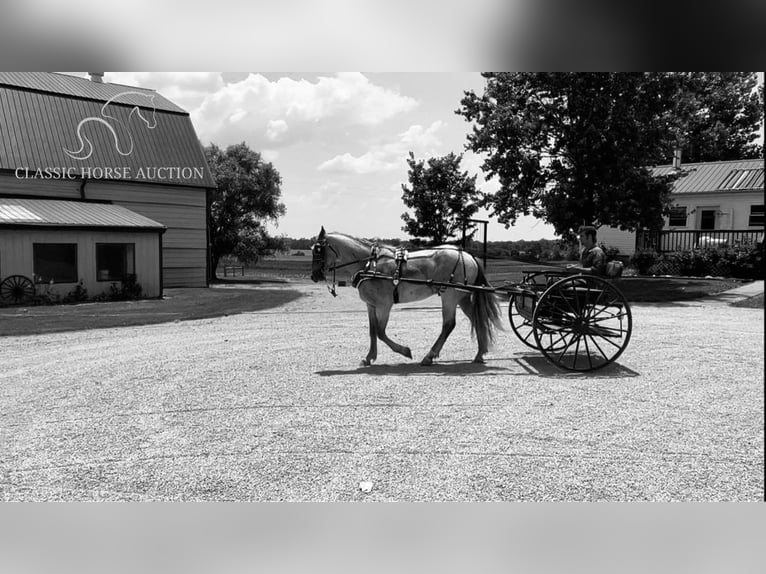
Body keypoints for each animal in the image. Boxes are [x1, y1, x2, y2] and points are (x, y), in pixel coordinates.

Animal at [308, 227, 508, 366]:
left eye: (318, 249)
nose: (314, 276)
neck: (369, 264)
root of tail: (469, 255)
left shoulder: (384, 305)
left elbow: (380, 332)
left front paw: (404, 351)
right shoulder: (371, 305)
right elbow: (372, 331)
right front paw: (369, 357)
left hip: (450, 296)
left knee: (449, 325)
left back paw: (429, 356)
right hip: (463, 298)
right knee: (477, 319)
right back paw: (480, 353)